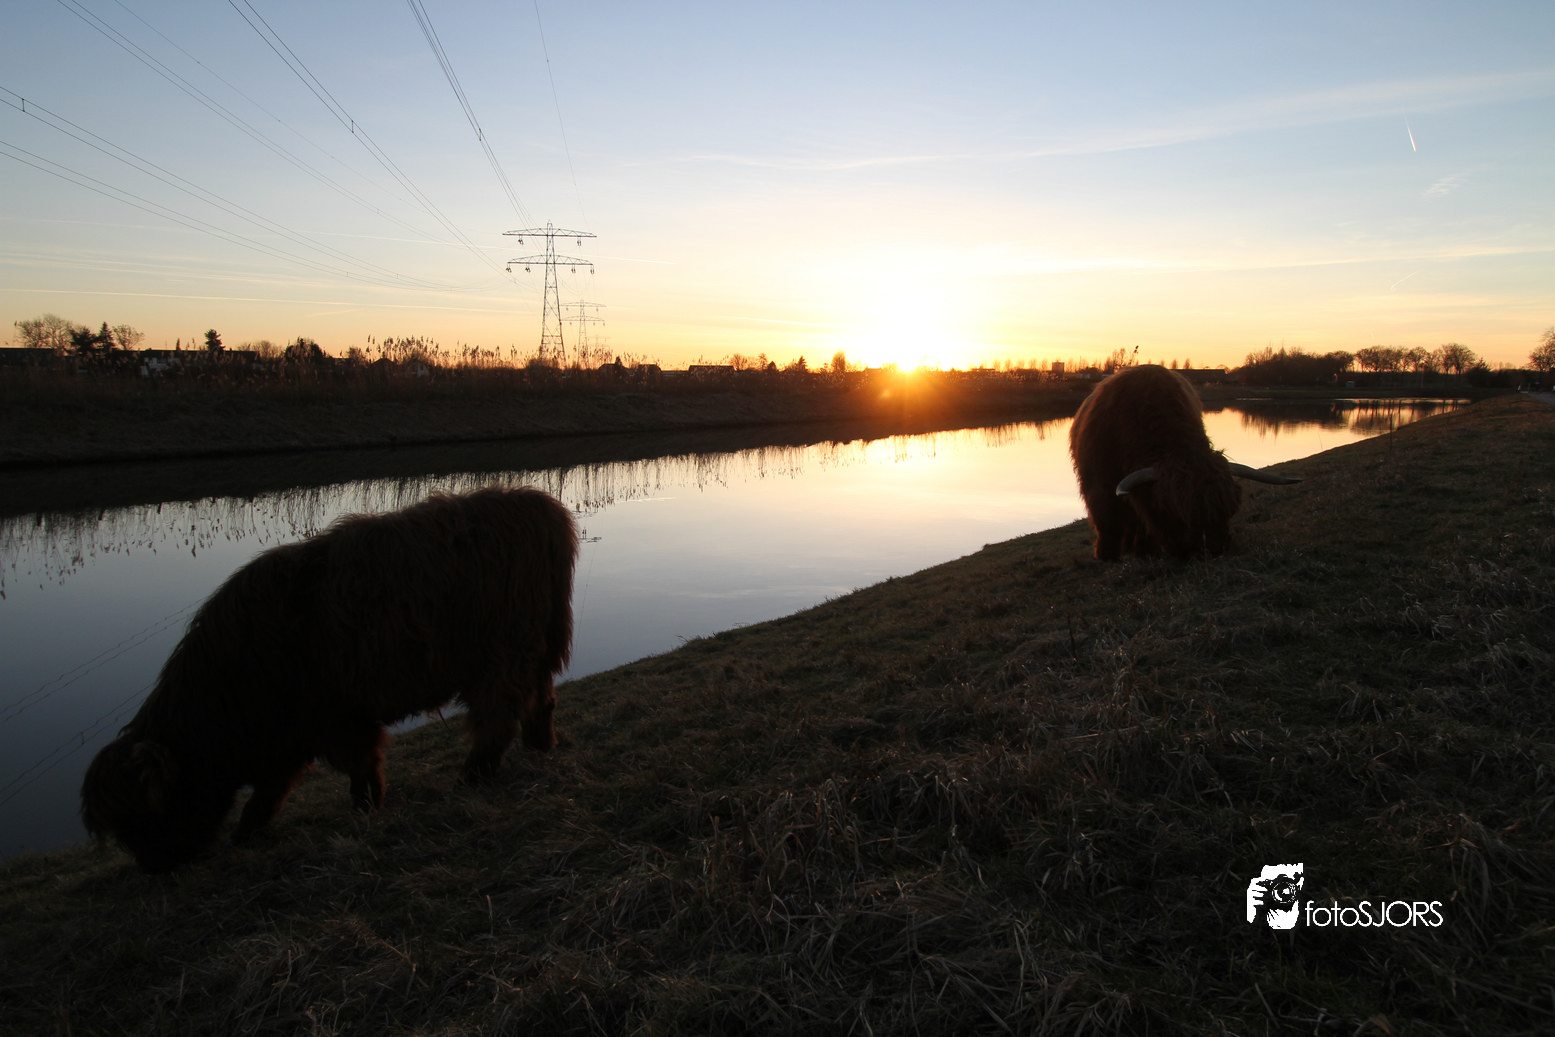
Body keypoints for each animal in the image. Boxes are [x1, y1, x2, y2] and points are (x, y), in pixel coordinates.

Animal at [81, 486, 578, 872]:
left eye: (148, 812)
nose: (155, 866)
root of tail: (540, 507)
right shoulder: (291, 735)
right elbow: (273, 789)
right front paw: (249, 830)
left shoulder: (330, 717)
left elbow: (356, 762)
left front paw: (365, 806)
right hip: (534, 646)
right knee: (540, 699)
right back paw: (541, 746)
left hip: (503, 651)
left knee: (498, 713)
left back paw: (474, 776)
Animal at [1068, 365, 1299, 560]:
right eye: (1177, 512)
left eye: (1230, 510)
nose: (1213, 550)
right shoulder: (1099, 485)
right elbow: (1107, 521)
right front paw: (1106, 556)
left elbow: (1143, 523)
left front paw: (1145, 551)